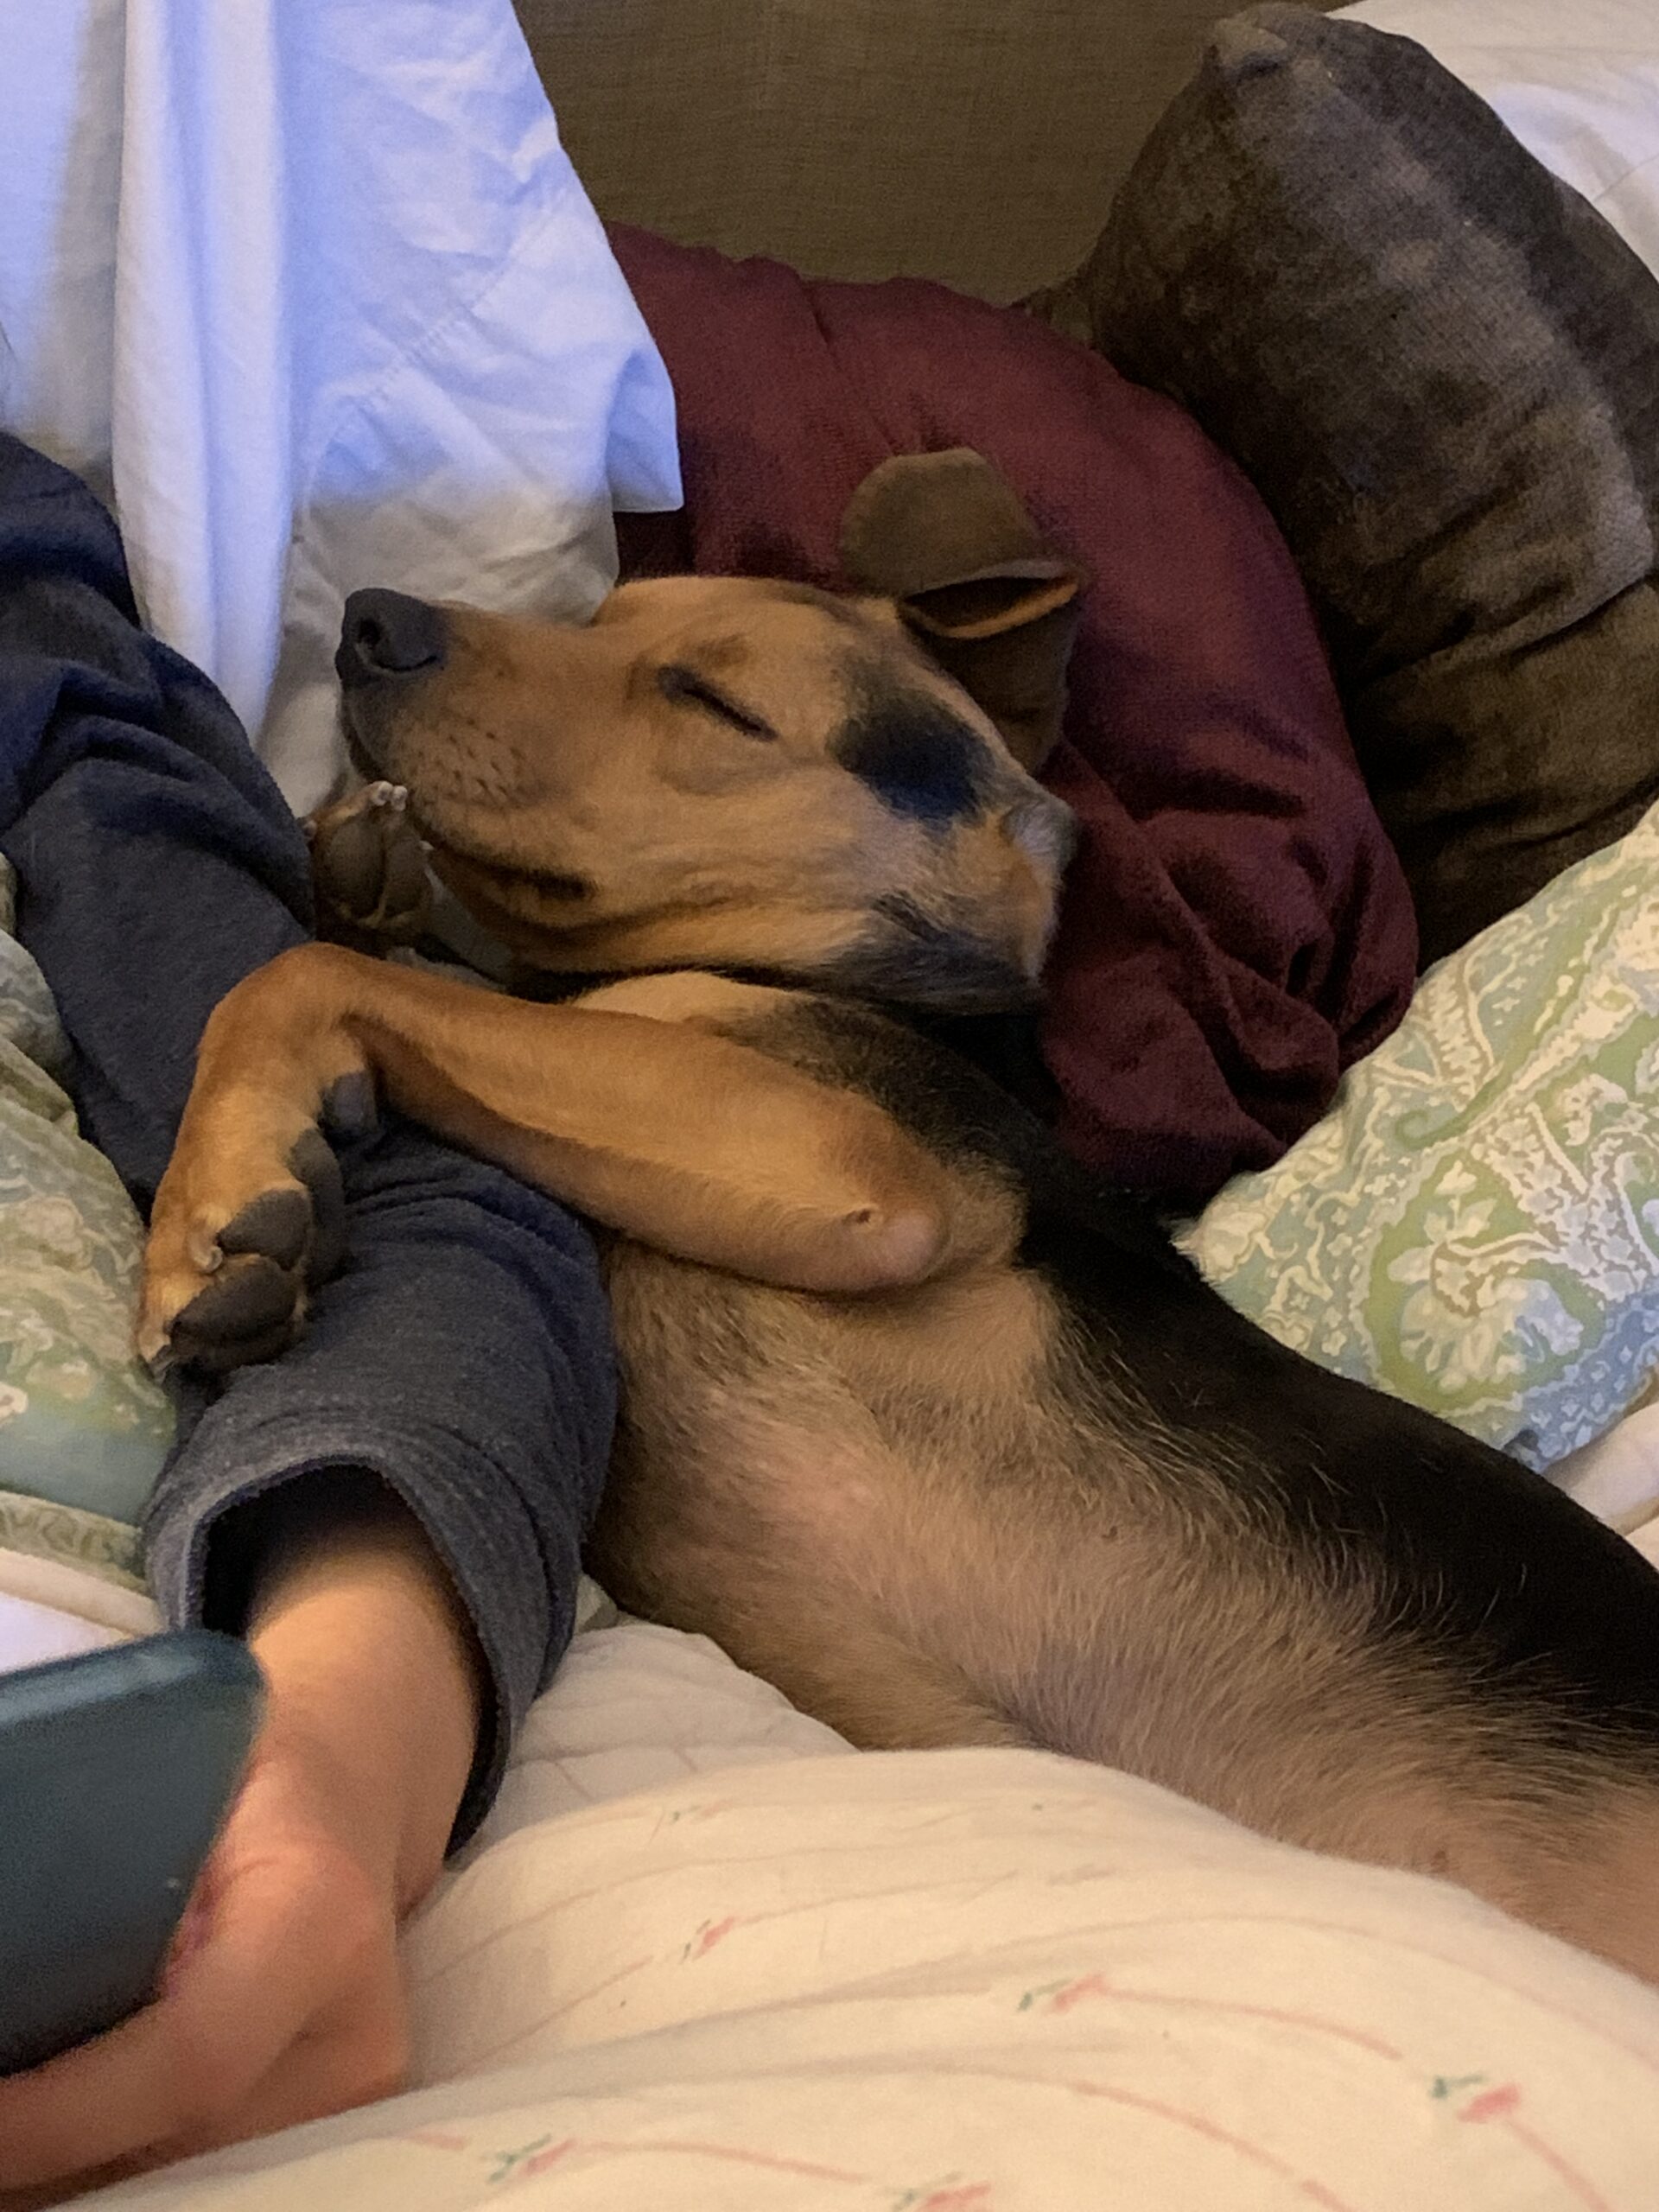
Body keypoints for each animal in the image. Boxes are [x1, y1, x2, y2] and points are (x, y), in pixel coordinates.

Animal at [140, 451, 1659, 1983]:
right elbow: (383, 959)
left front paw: (216, 1208)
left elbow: (305, 980)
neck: (848, 980)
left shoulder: (859, 1164)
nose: (371, 621)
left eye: (715, 702)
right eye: (607, 614)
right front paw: (363, 871)